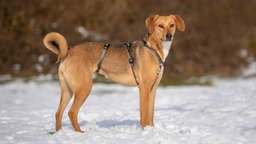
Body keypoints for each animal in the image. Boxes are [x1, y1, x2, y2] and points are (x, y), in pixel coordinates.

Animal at [43, 14, 185, 132]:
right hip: (84, 87)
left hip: (68, 90)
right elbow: (144, 114)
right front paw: (145, 130)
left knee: (58, 113)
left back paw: (60, 133)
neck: (153, 48)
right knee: (72, 112)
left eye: (172, 25)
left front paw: (151, 129)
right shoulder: (144, 88)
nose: (169, 36)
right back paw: (80, 133)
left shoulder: (153, 88)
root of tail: (68, 52)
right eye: (160, 25)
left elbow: (151, 113)